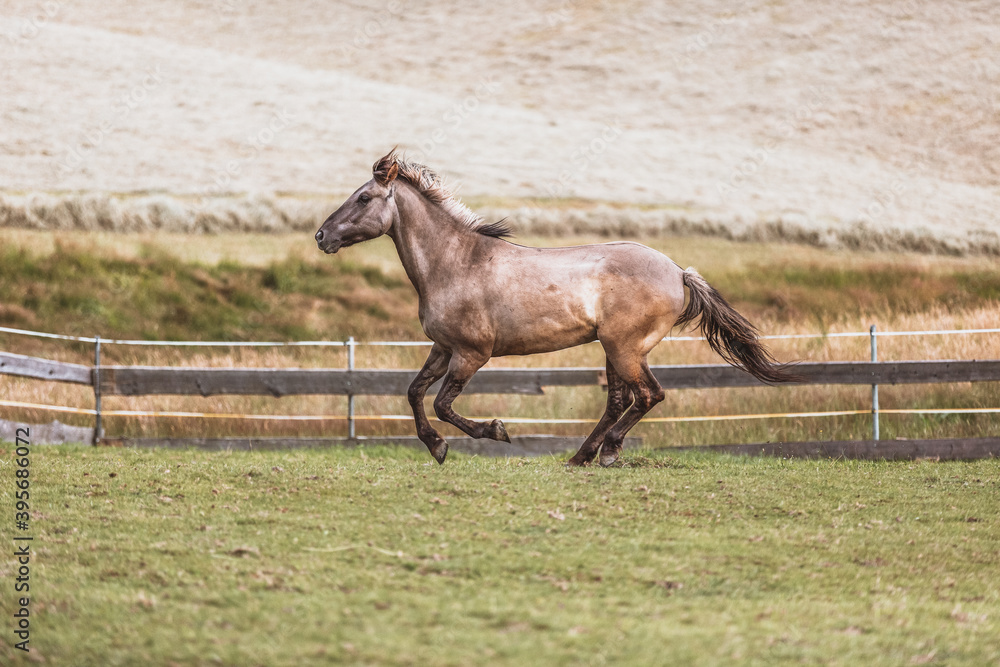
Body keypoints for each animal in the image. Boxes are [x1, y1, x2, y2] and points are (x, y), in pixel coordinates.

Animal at [315, 150, 798, 466]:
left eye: (363, 198)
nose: (321, 236)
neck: (455, 263)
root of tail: (679, 272)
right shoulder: (442, 347)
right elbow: (415, 393)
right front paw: (437, 447)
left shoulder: (472, 353)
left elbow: (443, 404)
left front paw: (495, 431)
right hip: (614, 348)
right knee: (620, 400)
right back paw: (581, 456)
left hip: (624, 346)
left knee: (648, 395)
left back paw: (607, 453)